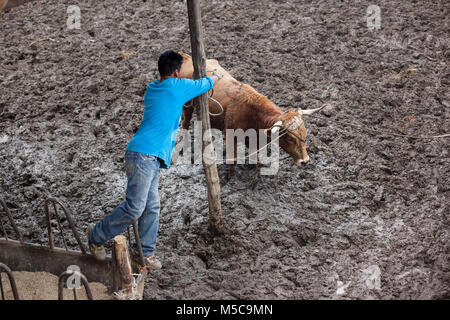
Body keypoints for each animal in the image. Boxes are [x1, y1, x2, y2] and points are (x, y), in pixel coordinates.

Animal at [178, 52, 324, 168]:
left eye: (304, 134)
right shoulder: (230, 136)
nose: (305, 161)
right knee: (185, 123)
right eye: (290, 138)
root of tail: (187, 58)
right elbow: (233, 159)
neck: (253, 114)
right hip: (186, 106)